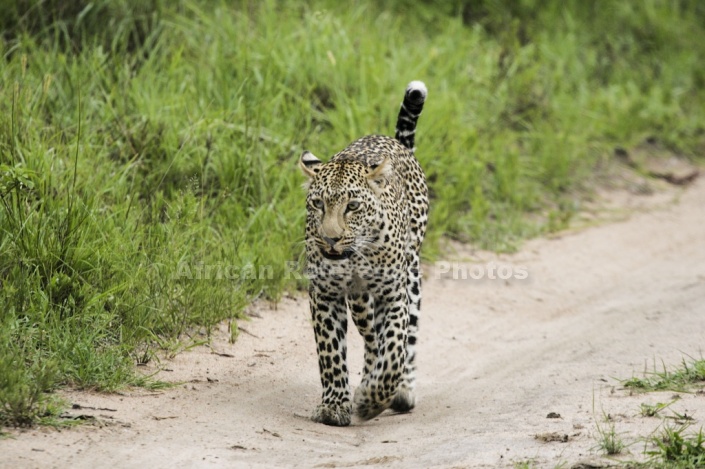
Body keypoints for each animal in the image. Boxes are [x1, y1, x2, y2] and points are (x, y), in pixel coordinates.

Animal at [296, 82, 428, 426]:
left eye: (353, 206)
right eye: (318, 204)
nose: (330, 238)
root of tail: (395, 142)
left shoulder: (393, 294)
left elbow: (394, 346)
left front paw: (372, 400)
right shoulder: (324, 294)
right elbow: (330, 352)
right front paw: (334, 406)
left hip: (411, 277)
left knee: (406, 338)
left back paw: (402, 391)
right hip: (359, 303)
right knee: (371, 338)